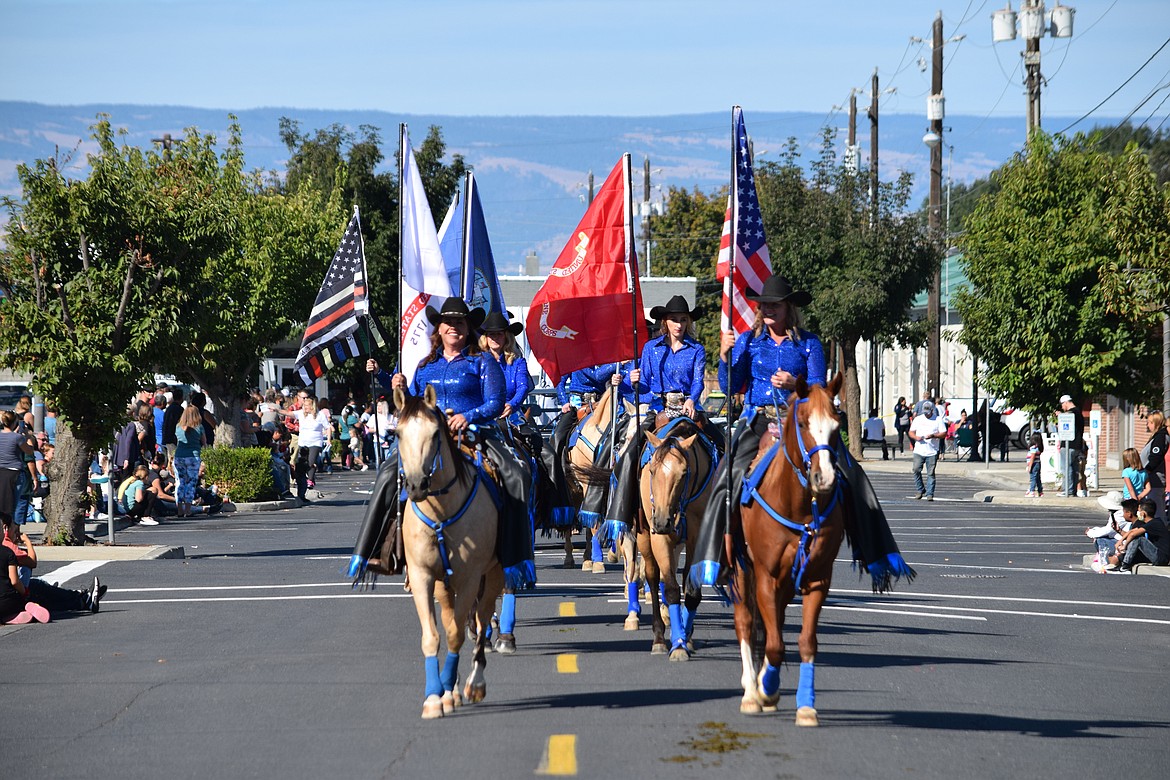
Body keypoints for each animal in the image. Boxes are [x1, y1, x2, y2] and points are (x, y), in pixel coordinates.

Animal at [395, 388, 505, 725]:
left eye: (435, 434)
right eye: (397, 433)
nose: (416, 484)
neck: (441, 513)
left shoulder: (470, 578)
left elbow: (459, 634)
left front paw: (450, 692)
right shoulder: (423, 577)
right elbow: (433, 636)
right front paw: (435, 697)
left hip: (493, 574)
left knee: (481, 622)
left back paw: (474, 684)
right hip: (446, 585)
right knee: (454, 619)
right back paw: (451, 687)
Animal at [636, 418, 716, 664]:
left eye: (683, 474)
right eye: (652, 470)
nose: (662, 521)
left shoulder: (697, 537)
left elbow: (691, 591)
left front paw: (685, 638)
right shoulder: (659, 539)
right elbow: (671, 589)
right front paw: (677, 645)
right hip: (645, 538)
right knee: (653, 577)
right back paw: (659, 636)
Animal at [730, 371, 842, 725]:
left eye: (836, 424)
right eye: (804, 423)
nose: (824, 478)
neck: (798, 507)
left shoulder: (817, 578)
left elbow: (805, 641)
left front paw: (806, 705)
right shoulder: (764, 575)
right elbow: (774, 643)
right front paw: (765, 689)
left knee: (771, 624)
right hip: (740, 569)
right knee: (746, 621)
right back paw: (751, 691)